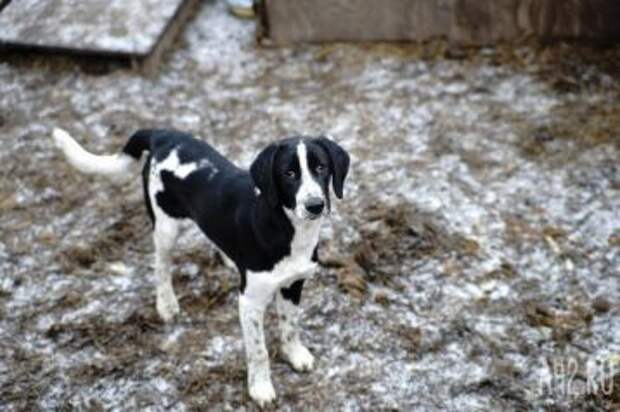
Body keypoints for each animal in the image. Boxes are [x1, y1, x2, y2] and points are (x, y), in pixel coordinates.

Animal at [49, 128, 348, 406]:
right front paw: (261, 389)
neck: (287, 228)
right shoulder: (250, 301)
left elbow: (290, 326)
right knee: (160, 265)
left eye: (321, 167)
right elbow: (258, 351)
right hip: (165, 226)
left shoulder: (293, 284)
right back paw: (166, 304)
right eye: (289, 173)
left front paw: (295, 356)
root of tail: (162, 135)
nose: (315, 205)